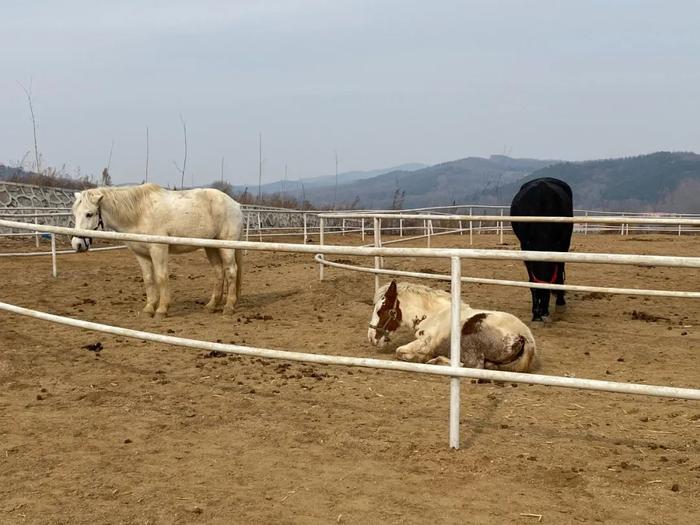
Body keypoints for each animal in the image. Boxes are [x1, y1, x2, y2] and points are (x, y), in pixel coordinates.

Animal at [72, 182, 243, 318]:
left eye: (89, 214)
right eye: (75, 213)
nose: (77, 244)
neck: (139, 213)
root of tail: (236, 205)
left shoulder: (158, 250)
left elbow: (161, 277)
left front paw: (162, 310)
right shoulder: (141, 255)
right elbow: (148, 279)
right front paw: (149, 308)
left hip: (226, 246)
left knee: (231, 271)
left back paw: (228, 307)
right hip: (211, 247)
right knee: (219, 272)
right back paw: (211, 306)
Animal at [370, 280, 540, 370]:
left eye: (381, 310)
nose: (371, 338)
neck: (435, 314)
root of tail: (525, 336)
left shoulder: (424, 344)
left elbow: (399, 351)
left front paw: (421, 358)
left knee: (471, 365)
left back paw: (436, 360)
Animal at [508, 178, 576, 322]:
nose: (543, 312)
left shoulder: (561, 245)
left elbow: (559, 273)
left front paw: (559, 304)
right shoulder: (526, 247)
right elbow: (532, 281)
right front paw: (536, 314)